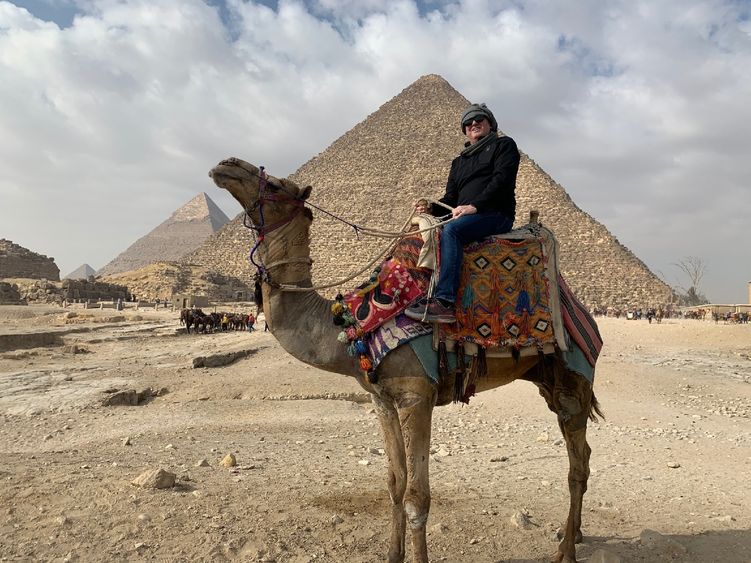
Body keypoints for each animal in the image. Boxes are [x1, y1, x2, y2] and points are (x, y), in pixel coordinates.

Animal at [209, 158, 604, 563]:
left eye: (275, 184)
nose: (226, 165)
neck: (355, 324)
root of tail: (581, 311)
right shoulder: (382, 398)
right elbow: (395, 483)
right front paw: (392, 554)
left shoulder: (416, 395)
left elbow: (418, 498)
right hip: (546, 379)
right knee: (583, 455)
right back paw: (574, 533)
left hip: (574, 377)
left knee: (577, 465)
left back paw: (566, 550)